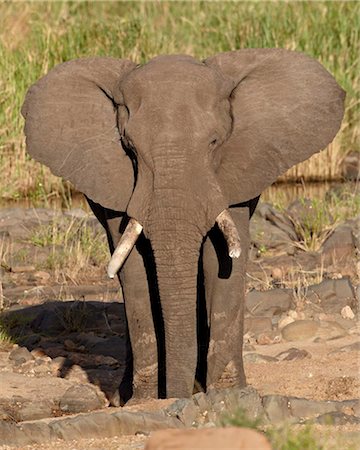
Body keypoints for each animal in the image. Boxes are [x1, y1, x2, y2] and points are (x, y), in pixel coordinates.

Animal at [20, 48, 346, 400]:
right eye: (130, 148)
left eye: (215, 142)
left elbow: (223, 261)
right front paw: (144, 401)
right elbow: (133, 270)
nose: (179, 395)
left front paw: (228, 394)